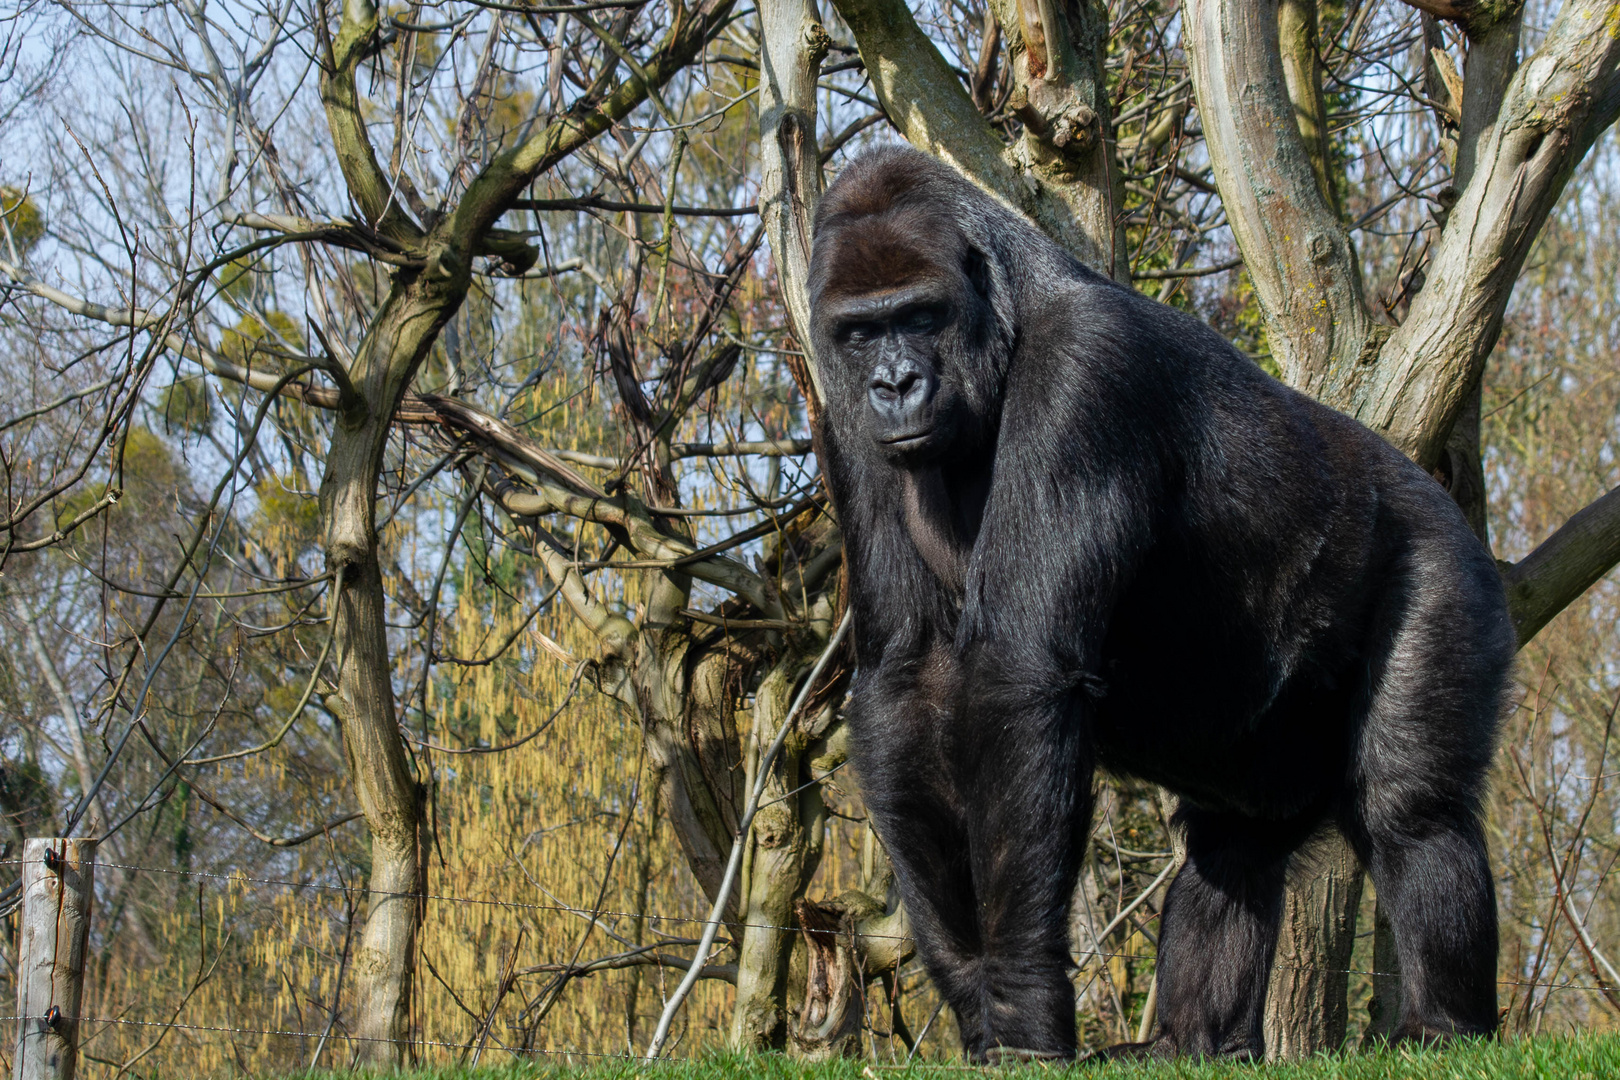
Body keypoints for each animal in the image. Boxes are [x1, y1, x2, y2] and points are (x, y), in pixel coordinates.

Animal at [810, 148, 1516, 1068]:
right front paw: (972, 983)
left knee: (1413, 809)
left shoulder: (1086, 373)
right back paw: (1193, 1038)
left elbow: (1018, 676)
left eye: (920, 315)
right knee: (1234, 844)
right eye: (860, 332)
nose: (894, 384)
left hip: (1447, 561)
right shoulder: (846, 425)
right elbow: (905, 681)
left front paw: (1021, 1000)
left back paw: (1443, 1026)